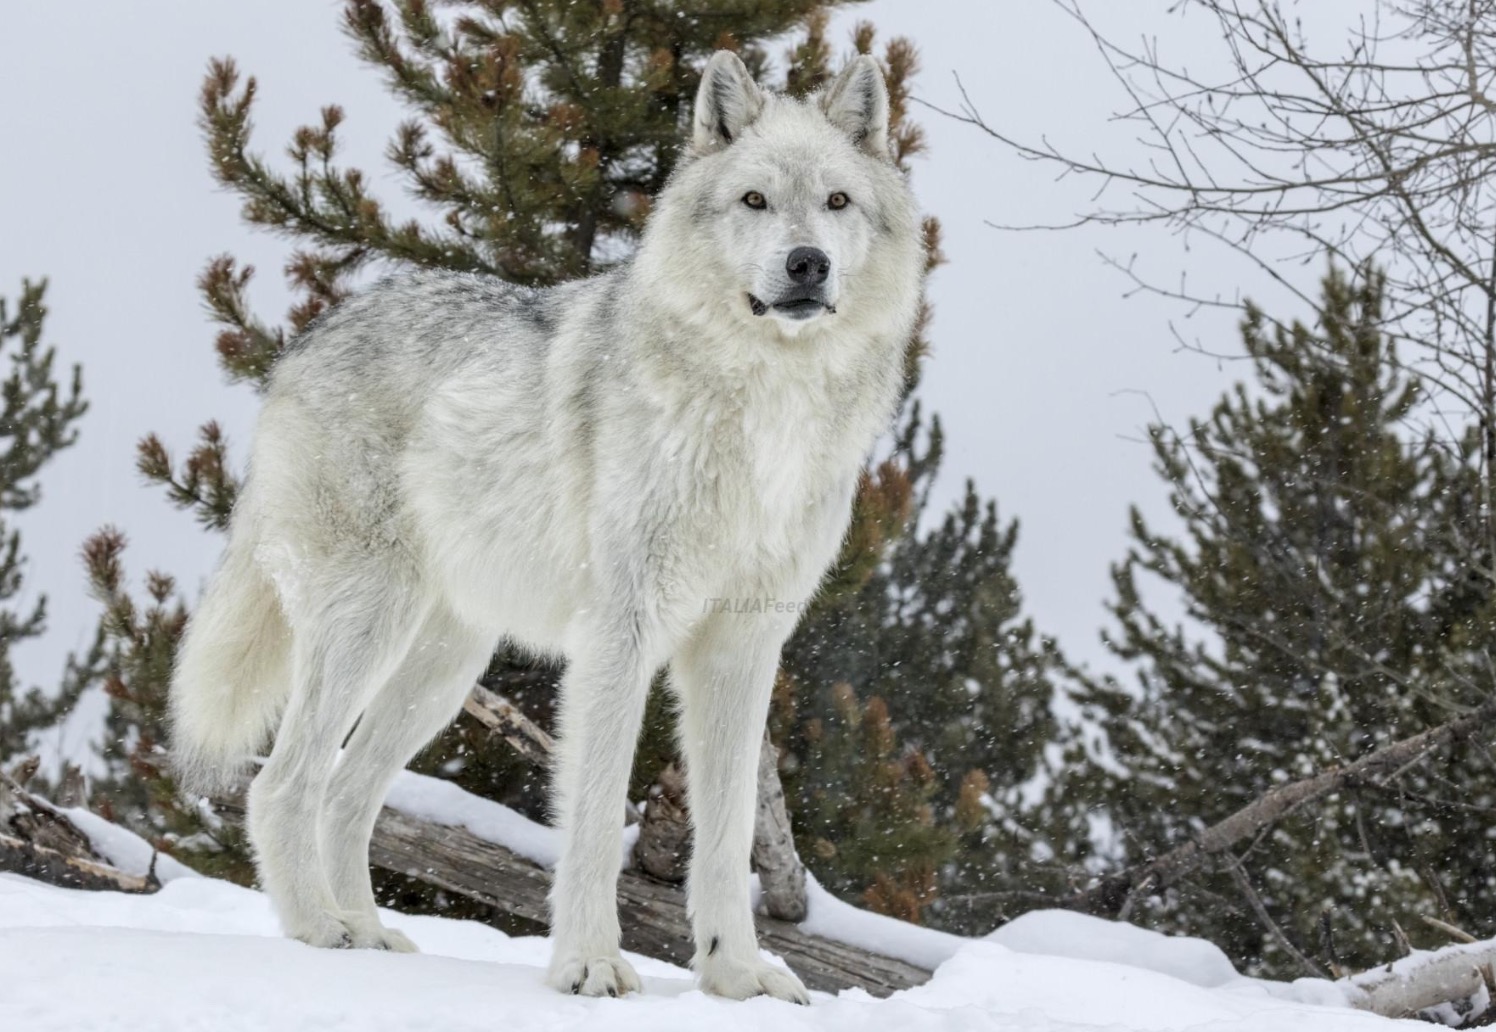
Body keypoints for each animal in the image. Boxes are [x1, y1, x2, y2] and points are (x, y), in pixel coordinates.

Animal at [166, 50, 921, 999]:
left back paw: (368, 935)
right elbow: (593, 818)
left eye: (836, 202)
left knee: (344, 793)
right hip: (366, 630)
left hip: (442, 668)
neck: (764, 415)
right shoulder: (619, 635)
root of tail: (308, 338)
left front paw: (737, 979)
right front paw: (590, 966)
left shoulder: (743, 647)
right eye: (754, 200)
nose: (807, 264)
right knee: (283, 784)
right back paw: (319, 933)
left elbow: (726, 838)